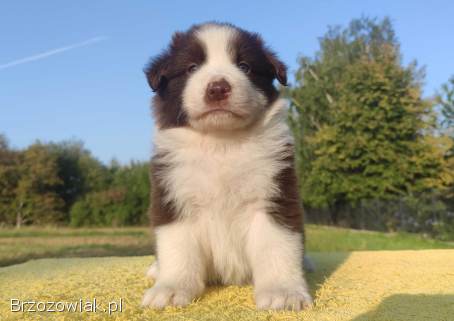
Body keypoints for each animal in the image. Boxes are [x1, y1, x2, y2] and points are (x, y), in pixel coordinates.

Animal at [142, 21, 312, 310]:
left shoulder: (275, 194)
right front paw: (171, 288)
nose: (218, 88)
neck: (222, 143)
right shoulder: (174, 195)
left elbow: (277, 244)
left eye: (244, 66)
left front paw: (283, 292)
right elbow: (178, 247)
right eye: (192, 68)